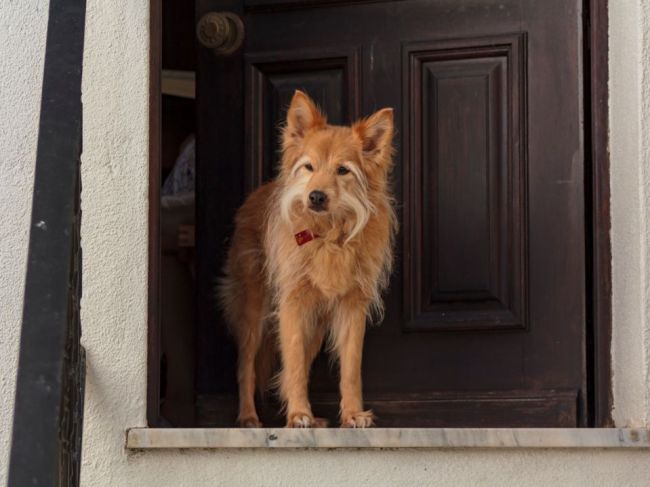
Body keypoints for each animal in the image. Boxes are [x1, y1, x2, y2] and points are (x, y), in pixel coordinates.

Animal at [219, 90, 394, 428]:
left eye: (343, 170)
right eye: (309, 167)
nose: (315, 196)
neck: (328, 236)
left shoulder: (353, 306)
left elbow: (350, 368)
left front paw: (352, 414)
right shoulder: (292, 303)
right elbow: (295, 365)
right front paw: (298, 414)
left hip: (315, 323)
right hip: (254, 311)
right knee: (245, 365)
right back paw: (249, 416)